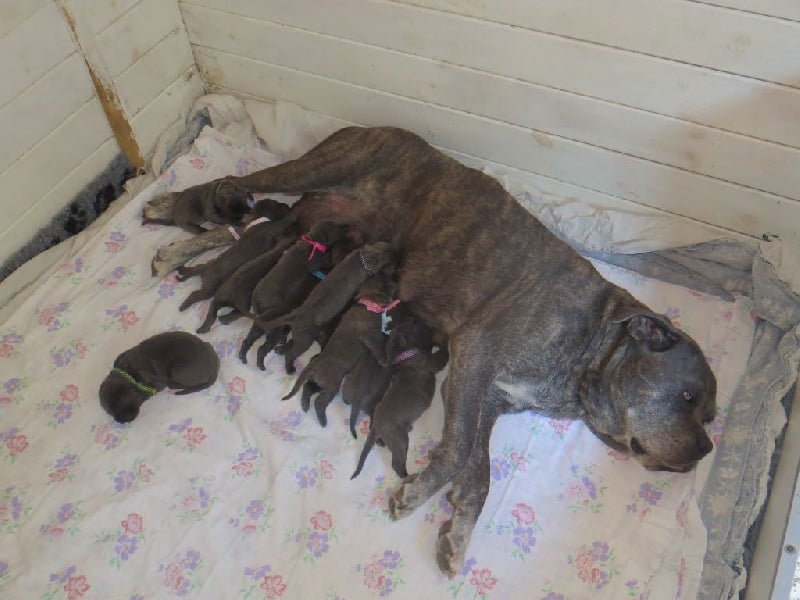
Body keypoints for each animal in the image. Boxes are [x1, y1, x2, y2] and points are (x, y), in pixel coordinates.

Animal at [256, 240, 396, 372]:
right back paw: (290, 369)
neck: (362, 259)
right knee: (291, 354)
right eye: (390, 260)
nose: (395, 249)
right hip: (304, 340)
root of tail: (294, 315)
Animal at [284, 272, 404, 426]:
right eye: (388, 279)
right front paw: (383, 360)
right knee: (319, 402)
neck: (367, 303)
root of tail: (313, 365)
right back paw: (323, 420)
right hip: (332, 385)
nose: (396, 278)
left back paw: (305, 405)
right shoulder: (368, 334)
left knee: (308, 389)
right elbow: (377, 347)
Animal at [352, 312, 450, 480]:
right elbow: (442, 355)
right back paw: (407, 476)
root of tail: (376, 425)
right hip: (400, 440)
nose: (414, 317)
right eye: (414, 325)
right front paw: (446, 342)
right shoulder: (430, 363)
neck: (404, 354)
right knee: (396, 464)